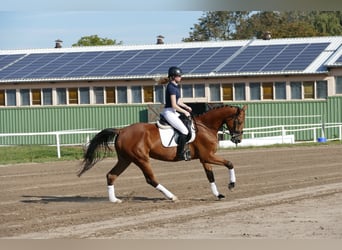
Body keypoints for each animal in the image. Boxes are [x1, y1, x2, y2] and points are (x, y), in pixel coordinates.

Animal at [79, 104, 247, 202]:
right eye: (239, 121)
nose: (238, 139)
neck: (206, 126)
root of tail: (121, 130)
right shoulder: (208, 156)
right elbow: (229, 163)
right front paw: (231, 185)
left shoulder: (205, 158)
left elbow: (210, 176)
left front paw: (218, 195)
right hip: (141, 159)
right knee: (151, 179)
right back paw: (172, 196)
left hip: (125, 159)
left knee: (111, 175)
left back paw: (114, 200)